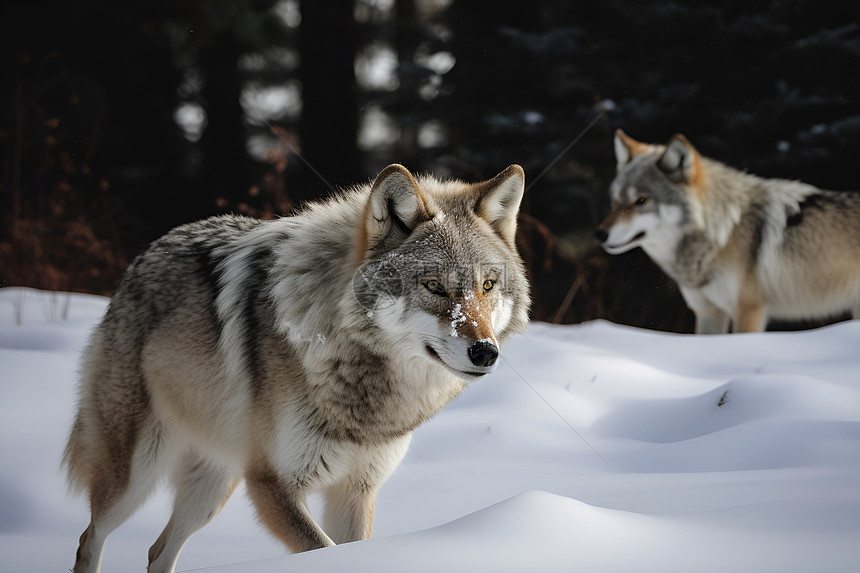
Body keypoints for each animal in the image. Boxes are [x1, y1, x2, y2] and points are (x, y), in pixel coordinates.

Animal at [62, 163, 532, 568]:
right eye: (433, 286)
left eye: (487, 285)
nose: (485, 352)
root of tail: (148, 253)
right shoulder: (272, 484)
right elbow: (321, 549)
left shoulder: (356, 491)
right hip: (135, 475)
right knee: (89, 538)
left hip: (213, 487)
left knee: (157, 551)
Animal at [596, 130, 860, 332]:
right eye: (614, 201)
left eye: (641, 201)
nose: (600, 234)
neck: (725, 231)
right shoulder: (707, 312)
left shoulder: (748, 310)